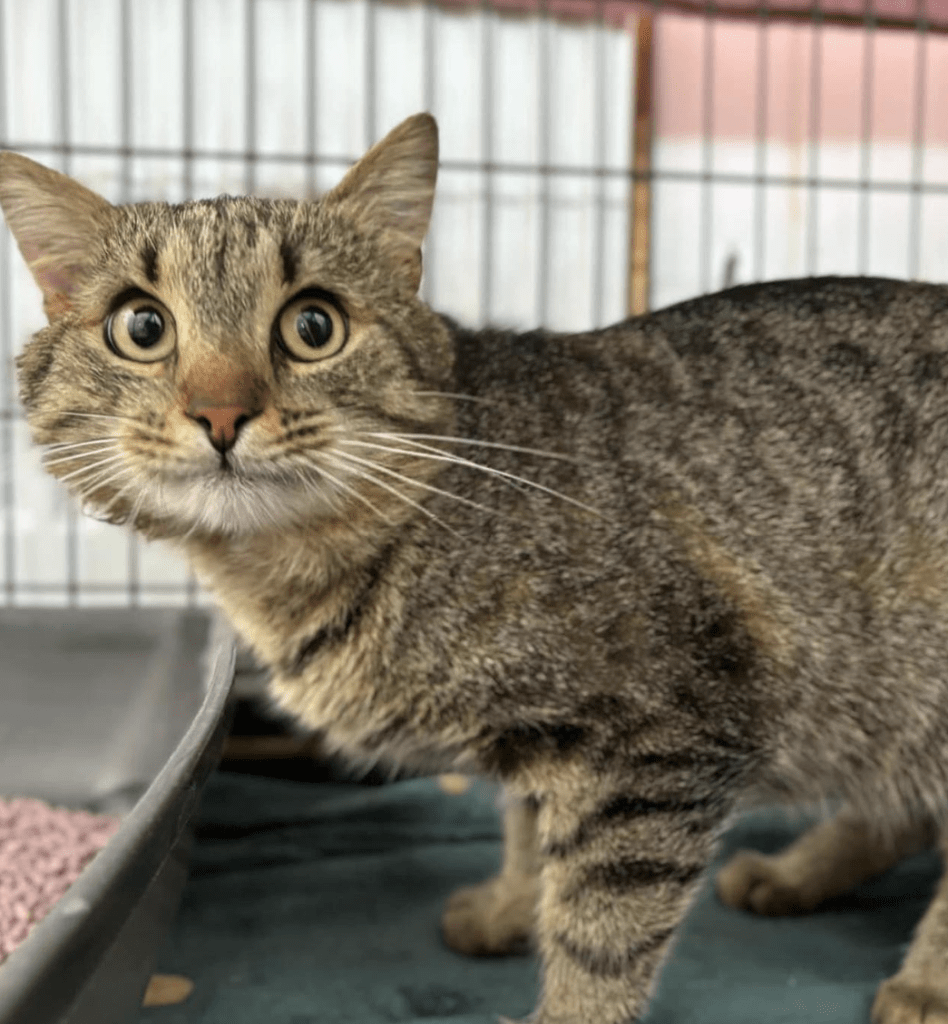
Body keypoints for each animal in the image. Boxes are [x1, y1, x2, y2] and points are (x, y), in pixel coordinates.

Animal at [1, 112, 948, 1024]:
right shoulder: (553, 733)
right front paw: (510, 908)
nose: (221, 412)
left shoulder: (661, 735)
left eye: (313, 326)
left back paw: (921, 981)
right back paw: (795, 874)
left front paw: (567, 1009)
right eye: (142, 327)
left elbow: (601, 925)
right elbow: (531, 832)